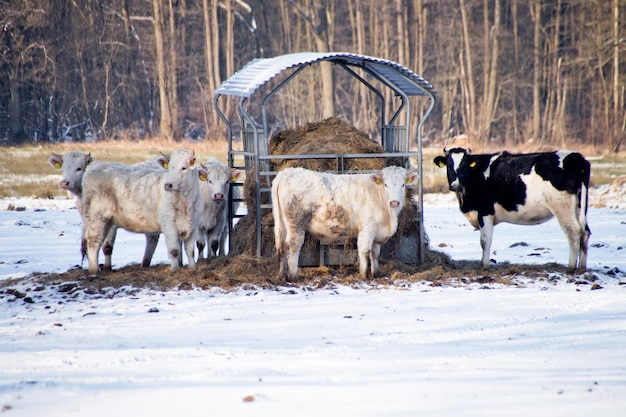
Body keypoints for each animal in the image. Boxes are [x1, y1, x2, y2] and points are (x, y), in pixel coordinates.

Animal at [270, 166, 416, 280]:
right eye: (386, 185)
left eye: (403, 184)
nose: (394, 202)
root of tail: (285, 173)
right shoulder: (367, 228)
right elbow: (364, 251)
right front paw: (364, 275)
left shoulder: (377, 233)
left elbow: (374, 253)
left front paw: (376, 274)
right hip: (296, 223)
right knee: (293, 245)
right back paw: (294, 276)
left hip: (282, 224)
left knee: (281, 246)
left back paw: (282, 275)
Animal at [432, 148, 588, 272]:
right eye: (449, 165)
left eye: (464, 165)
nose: (455, 185)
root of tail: (575, 157)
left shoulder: (485, 211)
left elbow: (485, 240)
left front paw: (484, 266)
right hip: (579, 207)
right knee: (585, 232)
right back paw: (581, 268)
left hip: (562, 207)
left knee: (574, 232)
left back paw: (571, 268)